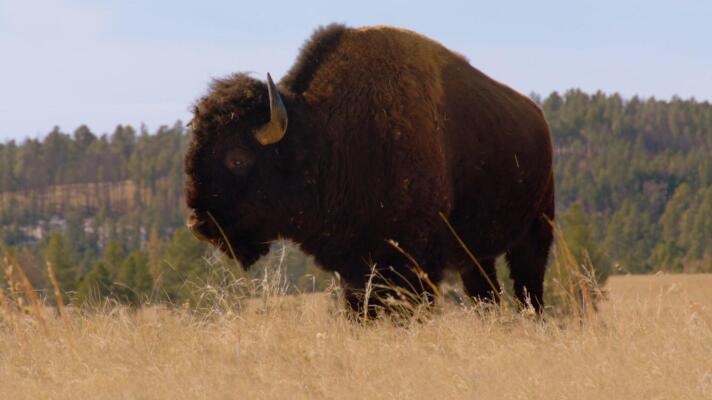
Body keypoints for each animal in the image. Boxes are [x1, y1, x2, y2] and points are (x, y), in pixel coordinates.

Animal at [184, 24, 554, 315]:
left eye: (237, 158)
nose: (198, 223)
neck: (321, 135)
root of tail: (538, 117)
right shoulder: (355, 268)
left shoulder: (414, 262)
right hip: (475, 254)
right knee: (486, 293)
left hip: (534, 231)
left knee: (528, 288)